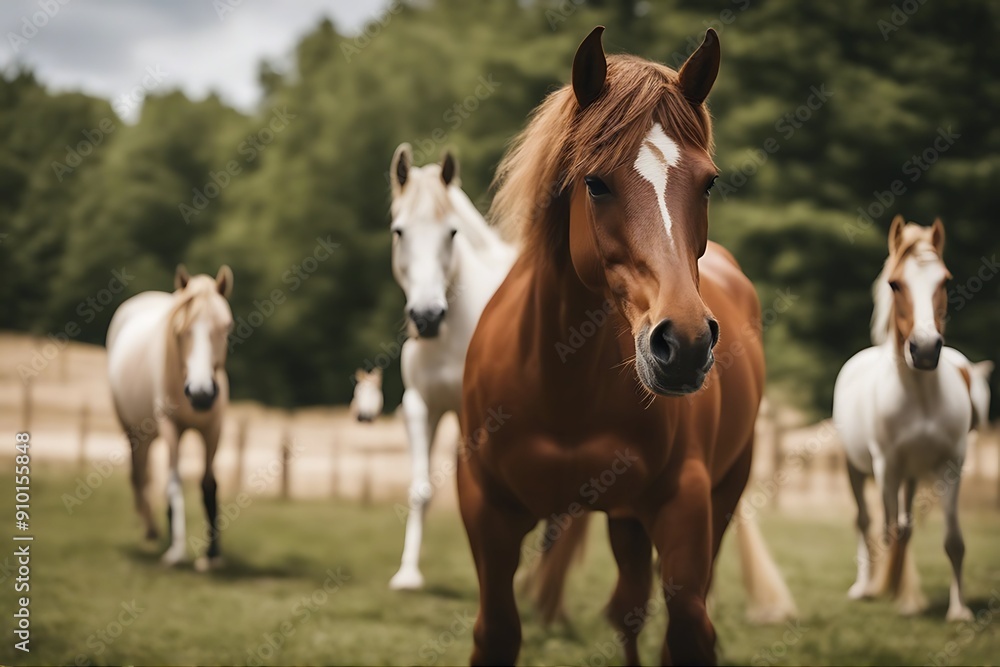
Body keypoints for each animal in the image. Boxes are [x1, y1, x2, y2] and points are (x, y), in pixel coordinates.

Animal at [106, 265, 234, 571]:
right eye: (181, 330)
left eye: (227, 327)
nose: (201, 394)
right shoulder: (170, 427)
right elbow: (175, 481)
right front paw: (176, 552)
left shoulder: (213, 429)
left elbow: (209, 484)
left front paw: (212, 554)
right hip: (133, 430)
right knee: (139, 475)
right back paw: (152, 531)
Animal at [387, 145, 516, 589]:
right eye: (399, 231)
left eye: (452, 233)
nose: (427, 317)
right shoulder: (420, 406)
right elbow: (420, 490)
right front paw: (408, 574)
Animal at [459, 26, 782, 665]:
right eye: (596, 182)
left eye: (708, 182)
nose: (683, 343)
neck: (560, 386)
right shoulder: (487, 511)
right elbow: (498, 631)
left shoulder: (683, 507)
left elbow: (688, 631)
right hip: (626, 523)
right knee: (627, 610)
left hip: (715, 497)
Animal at [833, 215, 992, 620]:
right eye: (895, 283)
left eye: (945, 281)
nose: (924, 349)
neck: (920, 398)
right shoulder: (885, 469)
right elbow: (888, 531)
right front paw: (899, 597)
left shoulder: (950, 466)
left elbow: (952, 541)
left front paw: (958, 611)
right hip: (857, 469)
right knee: (865, 522)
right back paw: (865, 587)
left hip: (912, 476)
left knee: (905, 525)